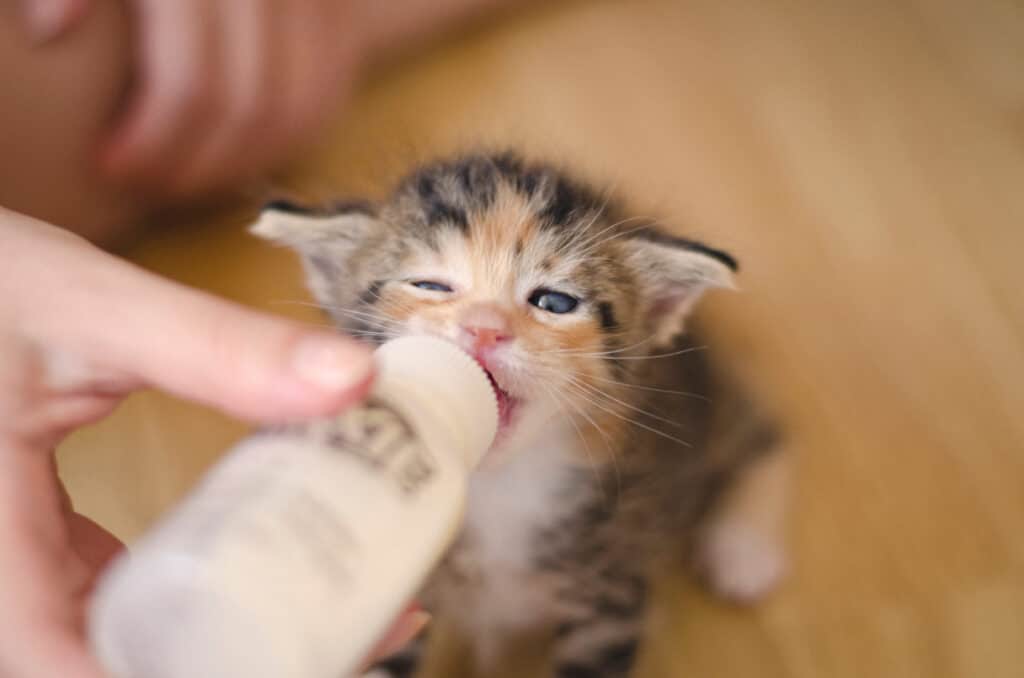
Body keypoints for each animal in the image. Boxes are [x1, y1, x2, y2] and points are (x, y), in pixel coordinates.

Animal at [251, 153, 786, 678]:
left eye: (555, 302)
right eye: (430, 285)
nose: (484, 329)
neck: (495, 486)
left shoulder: (613, 590)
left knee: (765, 432)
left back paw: (745, 549)